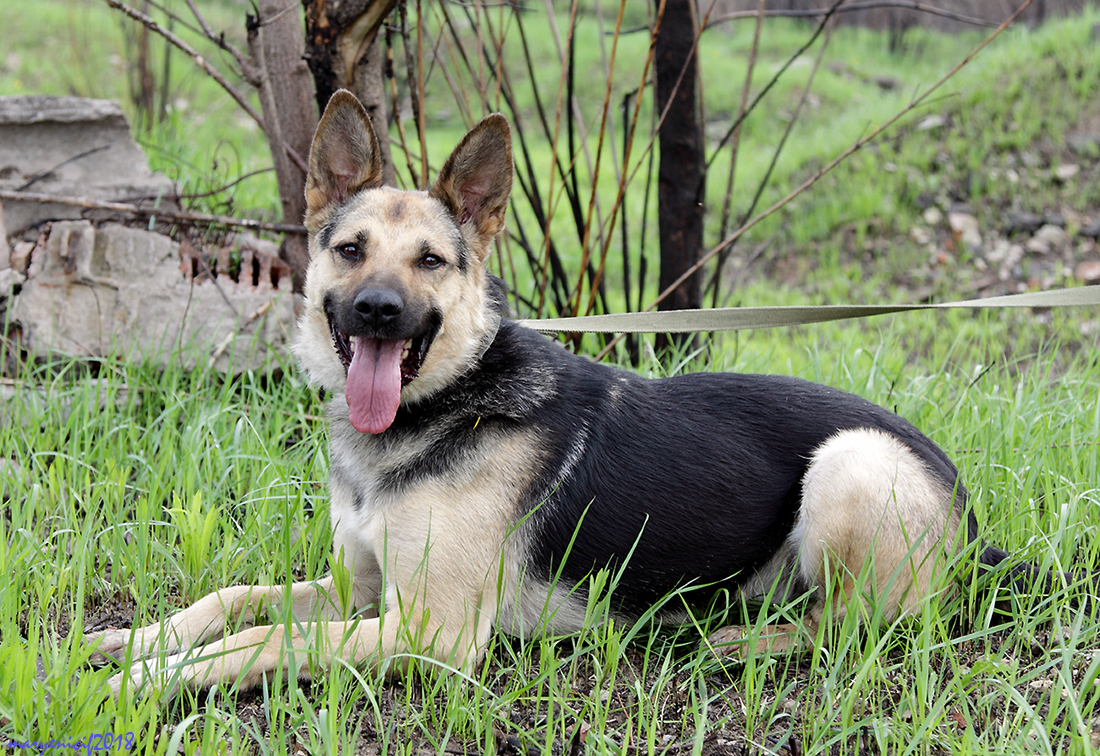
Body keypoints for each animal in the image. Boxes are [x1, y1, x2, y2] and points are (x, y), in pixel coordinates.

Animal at [88, 90, 1047, 699]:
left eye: (430, 261)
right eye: (350, 250)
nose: (378, 310)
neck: (447, 403)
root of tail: (971, 521)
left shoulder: (431, 632)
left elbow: (263, 639)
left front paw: (146, 682)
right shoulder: (357, 592)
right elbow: (232, 602)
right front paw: (131, 642)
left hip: (853, 461)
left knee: (858, 630)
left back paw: (735, 641)